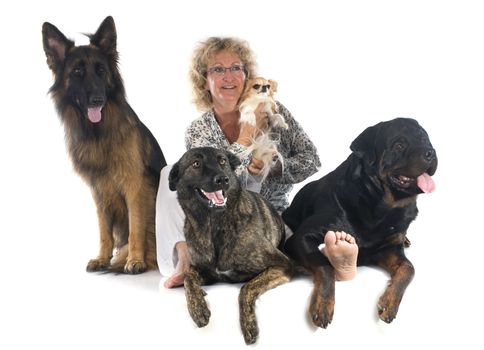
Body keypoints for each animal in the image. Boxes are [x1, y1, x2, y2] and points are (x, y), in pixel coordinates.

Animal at [168, 146, 294, 344]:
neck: (214, 226)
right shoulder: (205, 271)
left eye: (222, 161)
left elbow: (247, 287)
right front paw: (198, 308)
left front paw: (248, 325)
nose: (222, 179)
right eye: (196, 163)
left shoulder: (283, 265)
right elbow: (189, 276)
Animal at [284, 117, 438, 328]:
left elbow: (409, 269)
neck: (381, 206)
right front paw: (323, 304)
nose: (431, 152)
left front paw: (389, 303)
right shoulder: (301, 237)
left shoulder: (388, 248)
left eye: (425, 140)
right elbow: (324, 265)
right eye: (399, 145)